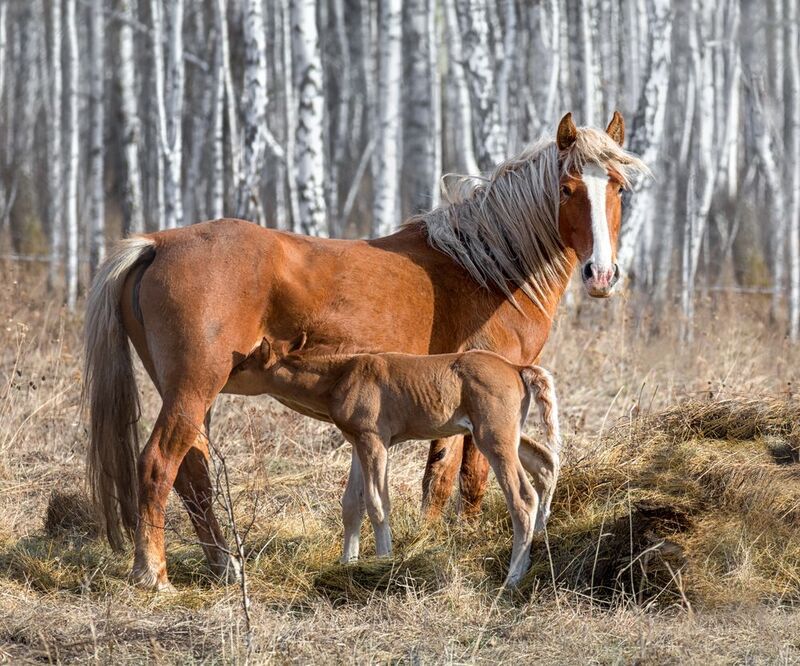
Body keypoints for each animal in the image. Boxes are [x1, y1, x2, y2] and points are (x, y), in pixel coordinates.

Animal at [229, 332, 562, 587]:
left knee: (522, 498)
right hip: (503, 436)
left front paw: (382, 562)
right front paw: (347, 563)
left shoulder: (374, 441)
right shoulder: (358, 442)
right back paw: (535, 545)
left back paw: (513, 577)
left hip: (493, 439)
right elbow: (352, 504)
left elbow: (377, 504)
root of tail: (517, 368)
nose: (224, 377)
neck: (341, 375)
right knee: (545, 463)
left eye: (244, 365)